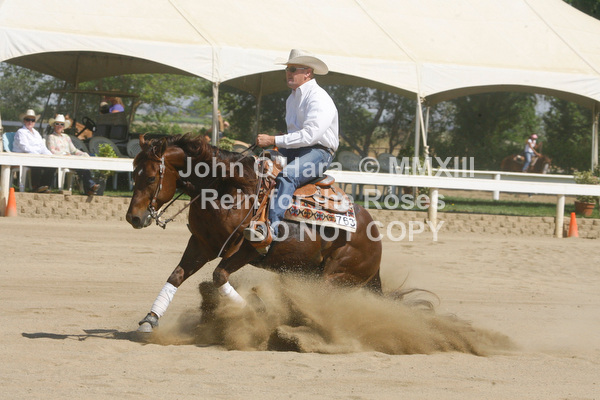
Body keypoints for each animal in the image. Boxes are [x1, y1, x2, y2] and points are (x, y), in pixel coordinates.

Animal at [126, 134, 383, 332]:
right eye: (133, 174)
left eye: (151, 177)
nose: (133, 218)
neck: (228, 188)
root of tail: (375, 238)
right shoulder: (201, 244)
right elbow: (176, 276)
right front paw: (150, 319)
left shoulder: (249, 248)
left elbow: (219, 276)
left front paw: (254, 314)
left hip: (334, 278)